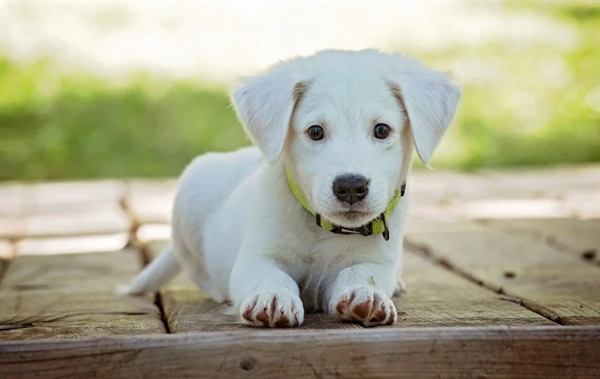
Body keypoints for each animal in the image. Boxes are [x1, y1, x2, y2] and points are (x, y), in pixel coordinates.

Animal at [129, 49, 462, 330]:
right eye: (315, 131)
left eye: (382, 130)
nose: (351, 187)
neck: (322, 229)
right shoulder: (257, 256)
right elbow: (271, 275)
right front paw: (273, 297)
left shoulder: (378, 261)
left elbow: (361, 272)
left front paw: (364, 294)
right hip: (191, 194)